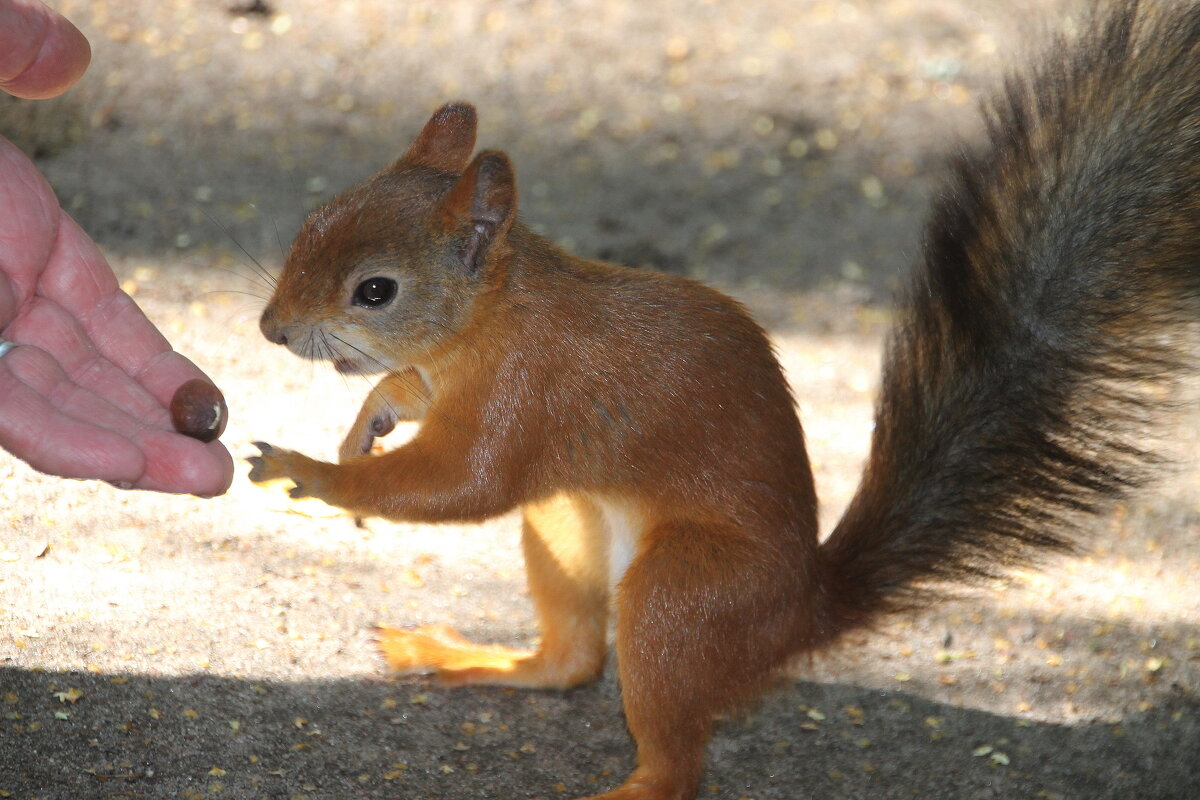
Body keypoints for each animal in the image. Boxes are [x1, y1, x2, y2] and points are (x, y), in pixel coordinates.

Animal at [248, 3, 1195, 796]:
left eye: (375, 290)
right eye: (314, 220)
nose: (270, 327)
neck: (487, 324)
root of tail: (802, 612)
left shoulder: (529, 396)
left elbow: (462, 486)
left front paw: (314, 473)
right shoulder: (452, 384)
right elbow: (404, 393)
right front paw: (366, 421)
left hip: (681, 594)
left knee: (673, 758)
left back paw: (625, 787)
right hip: (566, 526)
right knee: (573, 661)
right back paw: (467, 655)